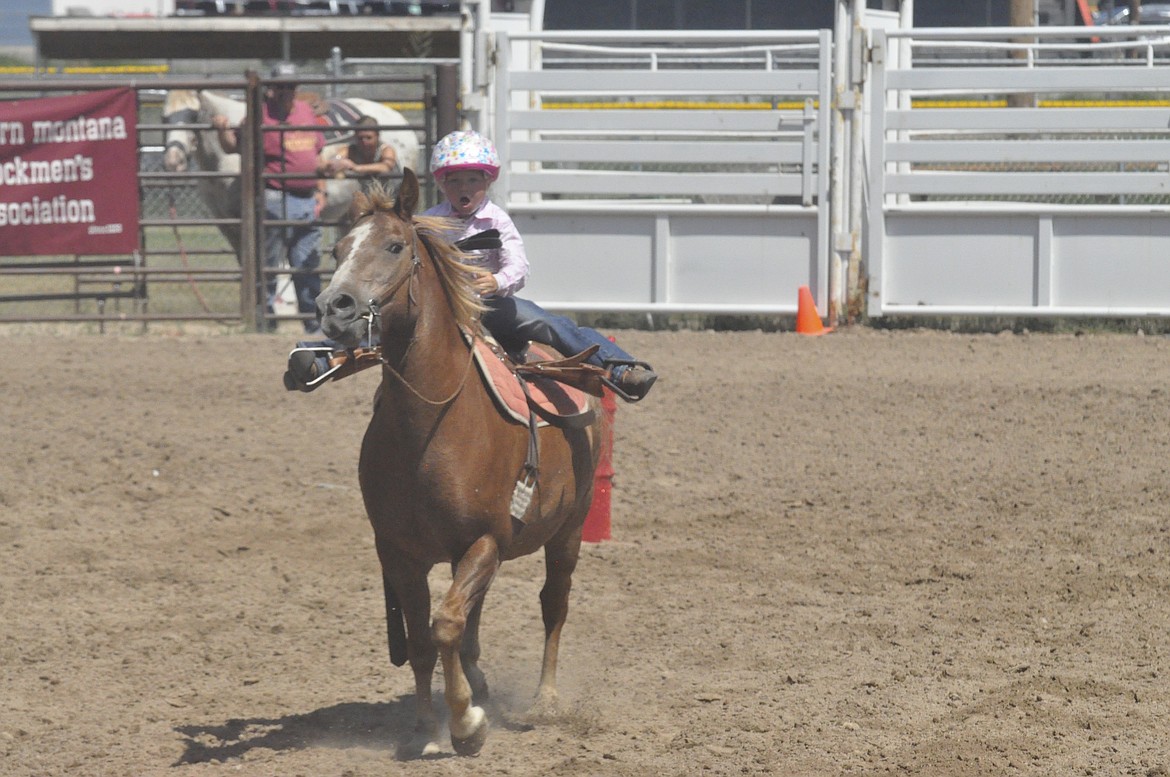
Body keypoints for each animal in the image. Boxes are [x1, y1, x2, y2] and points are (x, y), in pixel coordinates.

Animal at [315, 167, 603, 753]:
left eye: (395, 245)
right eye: (337, 249)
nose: (335, 308)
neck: (430, 425)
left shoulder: (486, 539)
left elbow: (445, 624)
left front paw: (466, 723)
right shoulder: (400, 553)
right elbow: (424, 639)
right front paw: (427, 728)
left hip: (570, 529)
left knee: (553, 604)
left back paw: (544, 699)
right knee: (474, 621)